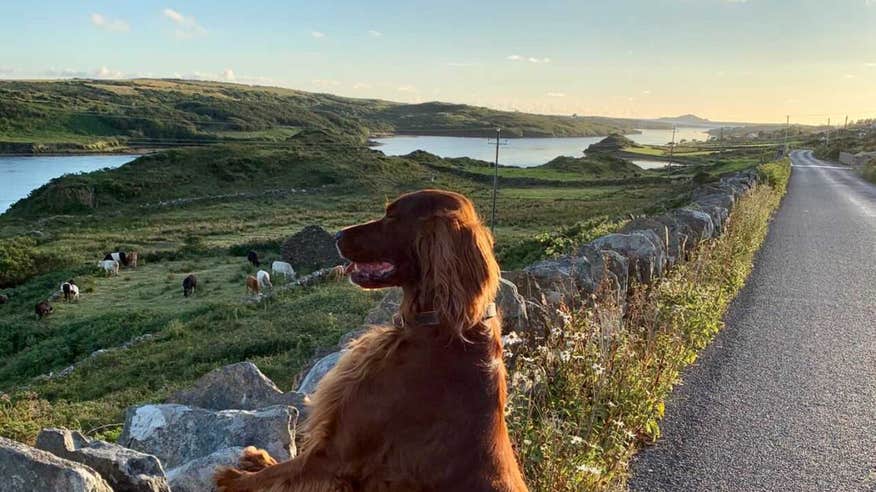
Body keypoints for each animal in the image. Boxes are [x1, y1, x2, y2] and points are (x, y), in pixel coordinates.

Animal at [216, 190, 528, 490]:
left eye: (392, 217)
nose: (337, 236)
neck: (438, 324)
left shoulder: (335, 455)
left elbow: (279, 474)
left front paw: (234, 477)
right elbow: (280, 467)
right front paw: (258, 460)